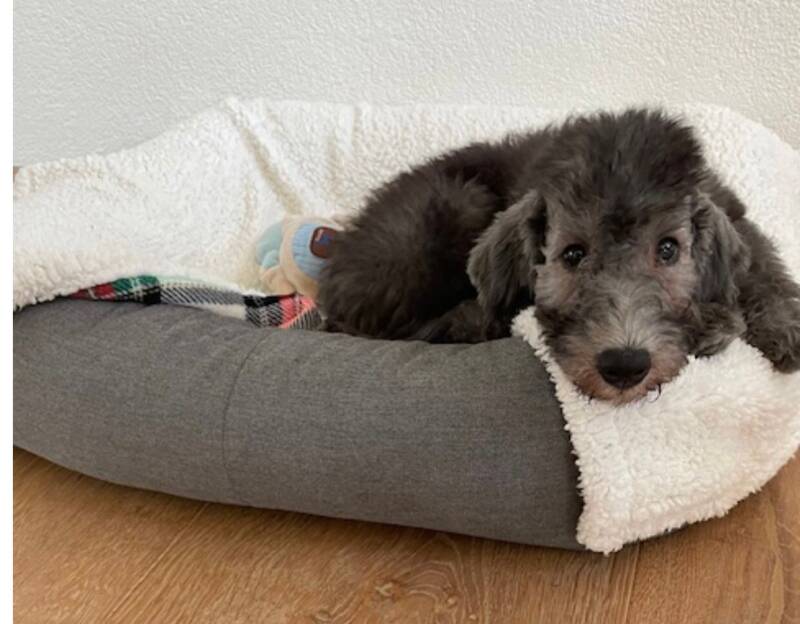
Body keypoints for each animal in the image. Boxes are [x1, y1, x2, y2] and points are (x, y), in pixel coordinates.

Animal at [317, 108, 800, 403]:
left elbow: (763, 269)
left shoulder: (740, 224)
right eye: (572, 254)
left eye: (668, 249)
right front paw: (713, 323)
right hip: (450, 208)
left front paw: (783, 327)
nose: (624, 365)